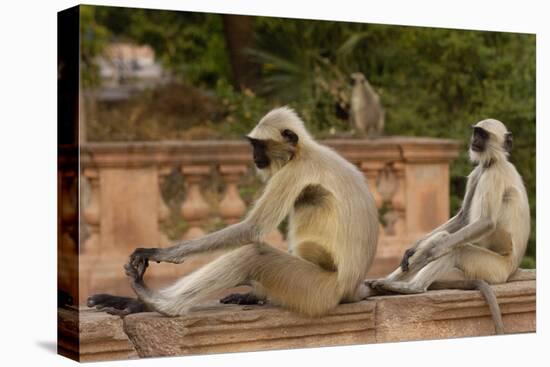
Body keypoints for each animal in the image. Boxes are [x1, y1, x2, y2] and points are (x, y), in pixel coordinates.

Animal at [88, 105, 382, 316]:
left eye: (258, 145)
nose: (254, 157)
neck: (302, 152)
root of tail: (349, 290)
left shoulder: (293, 172)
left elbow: (252, 230)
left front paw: (162, 253)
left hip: (317, 290)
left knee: (254, 254)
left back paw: (159, 304)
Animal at [370, 119, 536, 334]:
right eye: (476, 133)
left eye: (482, 135)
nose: (474, 141)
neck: (494, 162)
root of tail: (512, 269)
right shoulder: (478, 173)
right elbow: (463, 218)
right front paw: (413, 250)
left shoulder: (493, 174)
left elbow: (485, 222)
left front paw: (430, 252)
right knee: (444, 236)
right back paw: (389, 281)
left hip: (493, 270)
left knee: (456, 249)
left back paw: (413, 287)